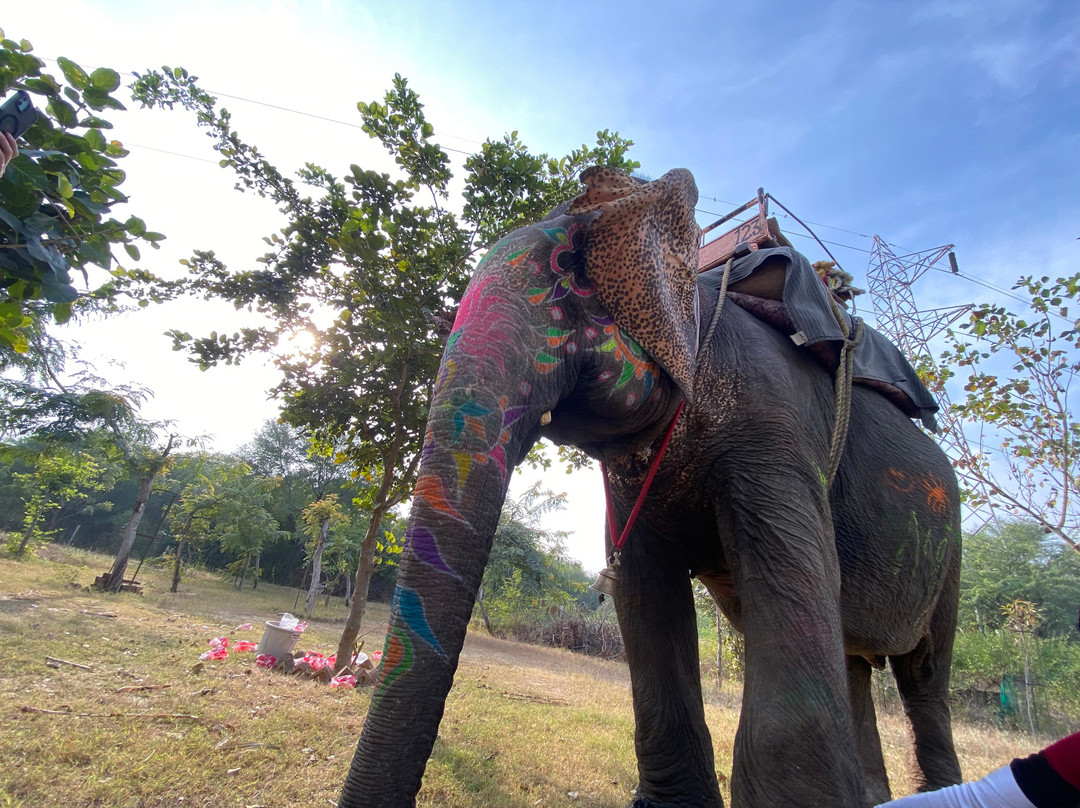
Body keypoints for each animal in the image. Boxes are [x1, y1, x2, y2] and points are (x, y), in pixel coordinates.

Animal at [338, 167, 963, 808]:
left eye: (568, 266)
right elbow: (644, 587)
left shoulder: (776, 432)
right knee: (855, 660)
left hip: (949, 553)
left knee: (923, 674)